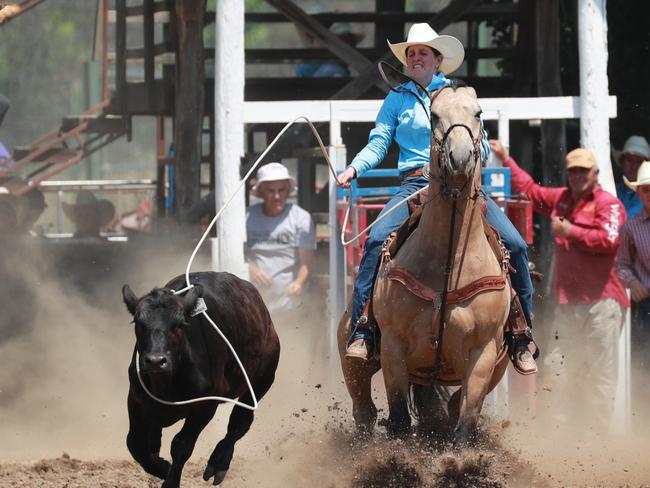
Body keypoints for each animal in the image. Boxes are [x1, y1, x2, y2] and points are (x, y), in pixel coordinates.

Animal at [336, 85, 508, 446]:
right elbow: (400, 417)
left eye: (478, 113)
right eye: (435, 115)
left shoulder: (484, 353)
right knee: (364, 412)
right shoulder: (393, 347)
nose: (460, 157)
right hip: (354, 362)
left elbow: (466, 421)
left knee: (448, 410)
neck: (448, 265)